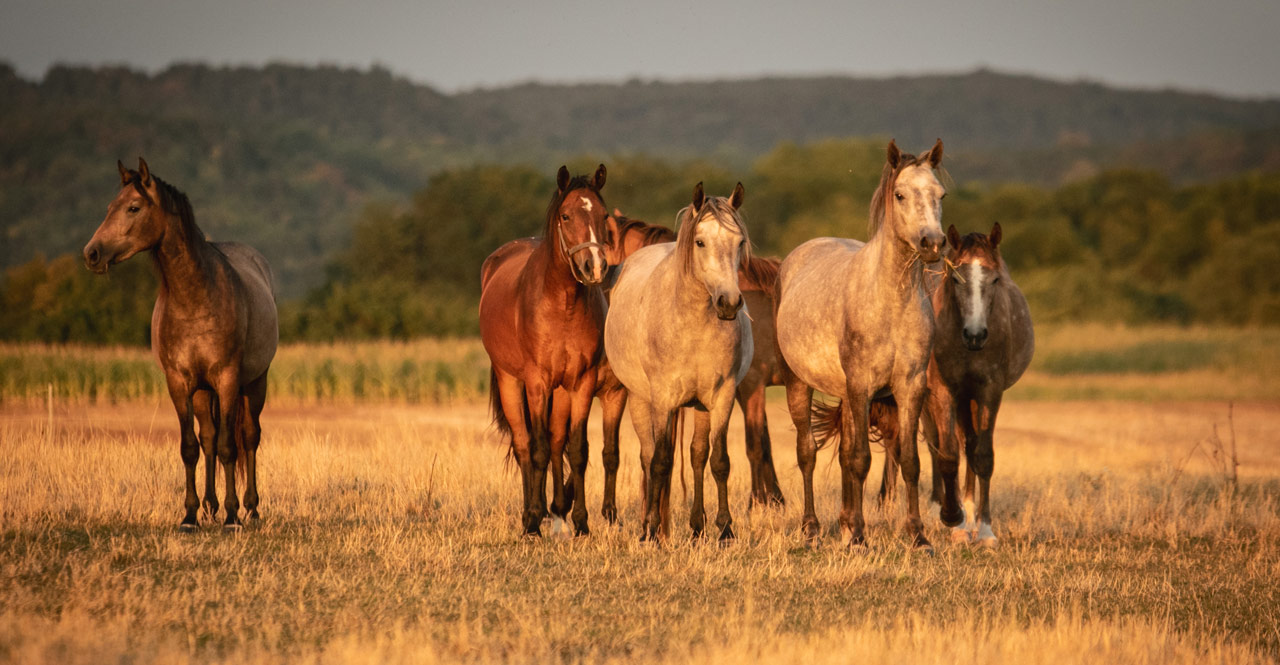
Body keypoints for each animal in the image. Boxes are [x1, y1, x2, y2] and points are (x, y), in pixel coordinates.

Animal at [83, 158, 279, 532]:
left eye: (134, 207)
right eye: (110, 206)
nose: (92, 254)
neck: (196, 297)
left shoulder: (228, 379)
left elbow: (230, 447)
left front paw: (232, 517)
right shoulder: (178, 382)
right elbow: (191, 447)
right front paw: (190, 516)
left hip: (254, 383)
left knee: (249, 437)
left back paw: (250, 509)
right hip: (203, 391)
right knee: (208, 438)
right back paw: (210, 507)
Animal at [481, 163, 609, 537]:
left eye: (603, 215)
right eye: (566, 216)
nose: (595, 267)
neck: (562, 304)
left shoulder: (581, 382)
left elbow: (576, 449)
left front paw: (580, 522)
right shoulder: (536, 382)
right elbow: (535, 450)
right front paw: (533, 520)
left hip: (562, 390)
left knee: (554, 441)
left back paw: (557, 516)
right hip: (511, 381)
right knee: (525, 444)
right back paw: (530, 517)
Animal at [604, 180, 752, 539]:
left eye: (739, 242)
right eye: (700, 242)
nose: (729, 303)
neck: (693, 324)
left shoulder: (722, 397)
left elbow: (719, 461)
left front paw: (725, 529)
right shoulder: (663, 400)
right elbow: (659, 461)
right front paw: (652, 530)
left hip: (700, 406)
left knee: (697, 456)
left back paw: (697, 526)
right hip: (640, 400)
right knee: (649, 455)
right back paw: (649, 523)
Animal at [768, 140, 952, 549]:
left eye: (940, 194)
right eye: (900, 194)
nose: (932, 243)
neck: (891, 301)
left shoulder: (910, 386)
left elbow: (908, 460)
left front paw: (917, 535)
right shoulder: (861, 386)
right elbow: (861, 460)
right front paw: (859, 539)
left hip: (847, 395)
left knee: (844, 454)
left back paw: (845, 521)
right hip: (800, 385)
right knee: (808, 452)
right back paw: (813, 527)